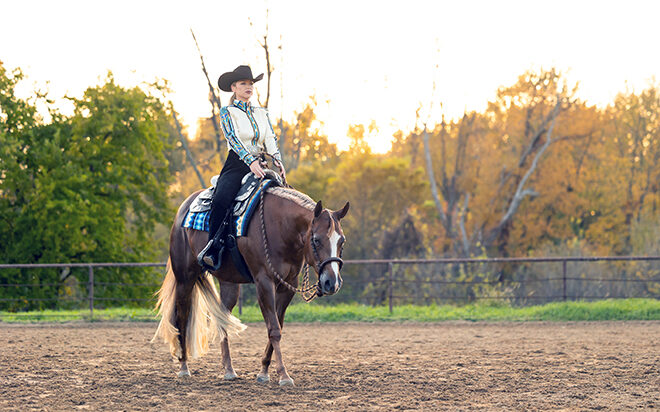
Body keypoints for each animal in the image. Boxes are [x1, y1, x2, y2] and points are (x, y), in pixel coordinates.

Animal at [151, 184, 348, 386]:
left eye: (342, 241)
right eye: (316, 240)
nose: (331, 282)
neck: (281, 227)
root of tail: (183, 209)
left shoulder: (288, 285)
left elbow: (278, 324)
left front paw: (264, 371)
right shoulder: (264, 282)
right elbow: (274, 329)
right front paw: (283, 375)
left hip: (229, 283)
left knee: (222, 318)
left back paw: (229, 370)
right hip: (185, 278)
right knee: (182, 316)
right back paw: (184, 366)